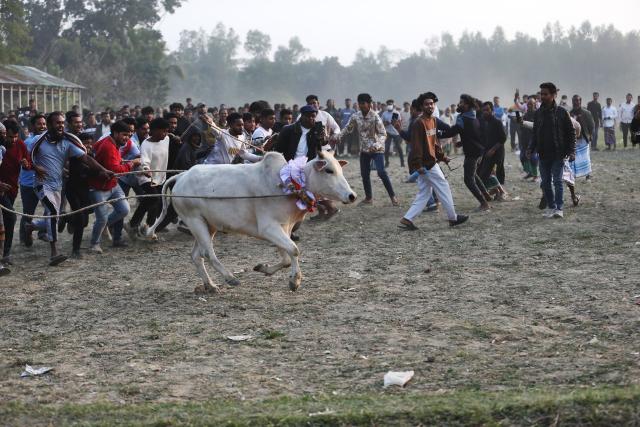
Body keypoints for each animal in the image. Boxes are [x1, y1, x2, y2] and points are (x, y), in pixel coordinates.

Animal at [145, 150, 357, 293]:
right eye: (328, 170)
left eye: (339, 168)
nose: (351, 195)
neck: (288, 185)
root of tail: (181, 175)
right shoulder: (268, 228)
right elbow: (294, 250)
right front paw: (295, 281)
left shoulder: (283, 228)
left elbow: (287, 256)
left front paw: (264, 268)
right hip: (195, 221)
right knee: (208, 253)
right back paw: (230, 278)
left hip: (207, 225)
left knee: (196, 256)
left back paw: (210, 285)